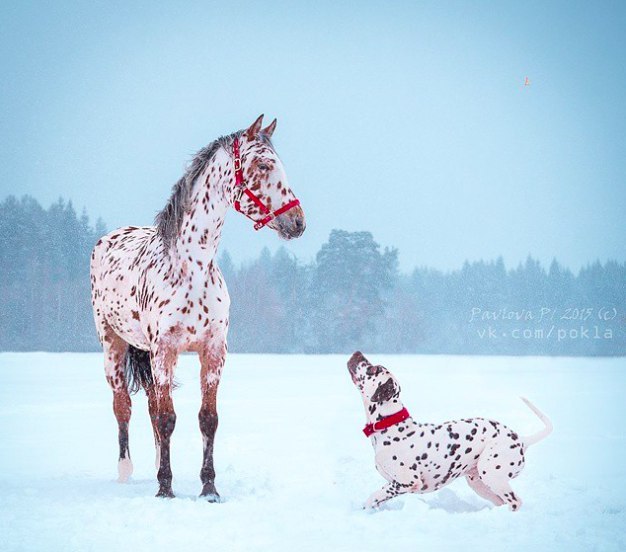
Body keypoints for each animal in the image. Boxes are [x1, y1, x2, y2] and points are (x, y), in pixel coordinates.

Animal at [89, 116, 304, 500]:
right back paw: (126, 471)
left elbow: (207, 419)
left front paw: (209, 488)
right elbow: (167, 418)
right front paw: (165, 488)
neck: (192, 269)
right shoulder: (165, 350)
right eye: (264, 165)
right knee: (123, 407)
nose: (297, 221)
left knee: (149, 405)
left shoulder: (213, 351)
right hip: (113, 346)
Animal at [346, 352, 552, 512]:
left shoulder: (408, 482)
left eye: (373, 370)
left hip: (492, 475)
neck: (390, 424)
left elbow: (375, 495)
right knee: (503, 502)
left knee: (515, 501)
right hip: (480, 482)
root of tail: (522, 440)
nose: (358, 353)